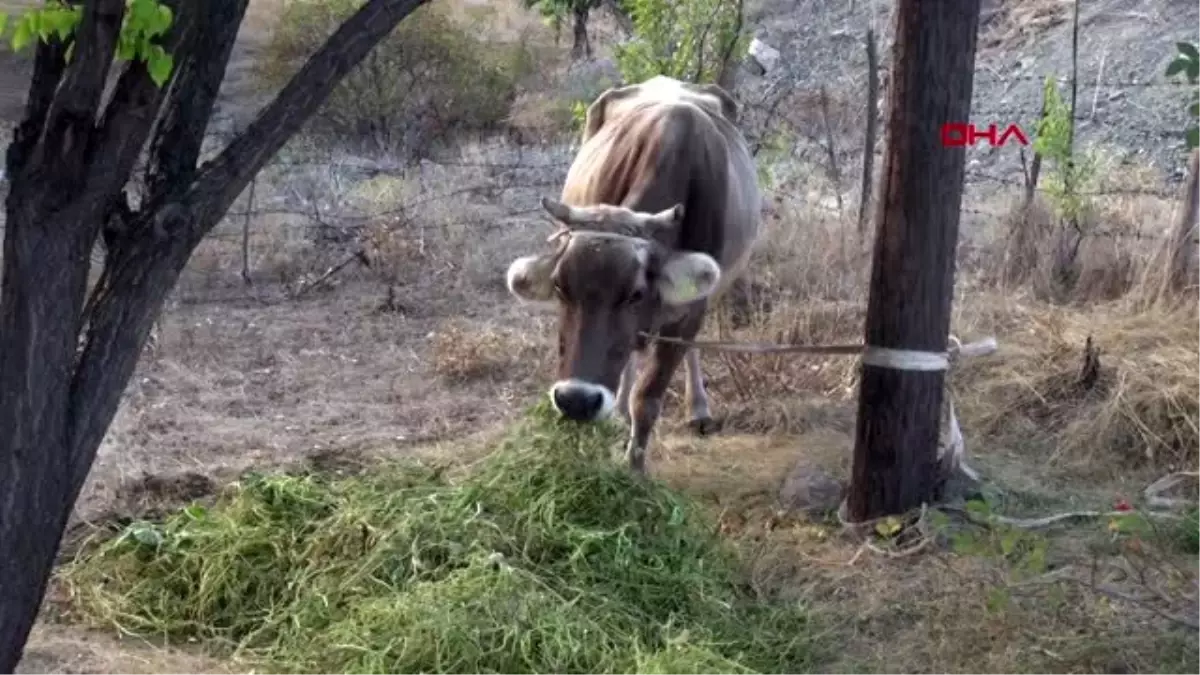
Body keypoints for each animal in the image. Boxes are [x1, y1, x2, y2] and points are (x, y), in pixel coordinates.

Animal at [501, 74, 763, 473]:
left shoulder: (689, 310)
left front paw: (635, 472)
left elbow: (649, 397)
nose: (577, 400)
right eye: (560, 287)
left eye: (635, 293)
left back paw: (698, 410)